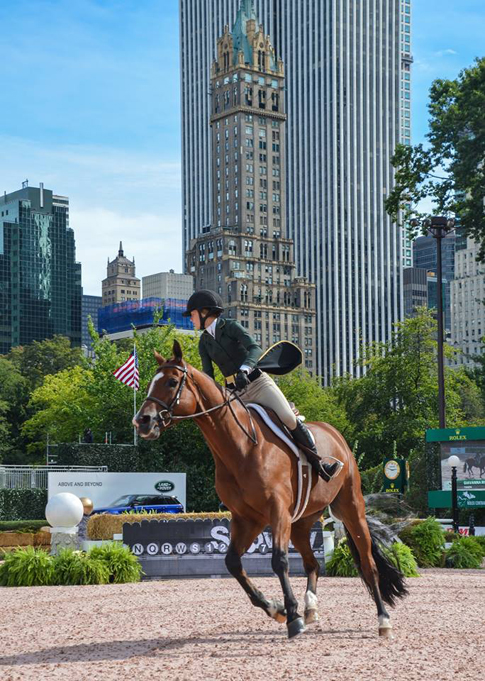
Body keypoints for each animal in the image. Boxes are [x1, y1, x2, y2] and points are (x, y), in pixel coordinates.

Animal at [131, 342, 404, 640]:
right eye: (151, 382)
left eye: (171, 382)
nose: (142, 421)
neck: (240, 447)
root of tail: (335, 433)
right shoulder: (247, 518)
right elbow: (232, 563)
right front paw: (276, 609)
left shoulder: (277, 511)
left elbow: (279, 561)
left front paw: (292, 616)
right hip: (302, 522)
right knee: (312, 563)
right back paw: (311, 608)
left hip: (351, 508)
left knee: (368, 564)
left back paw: (383, 620)